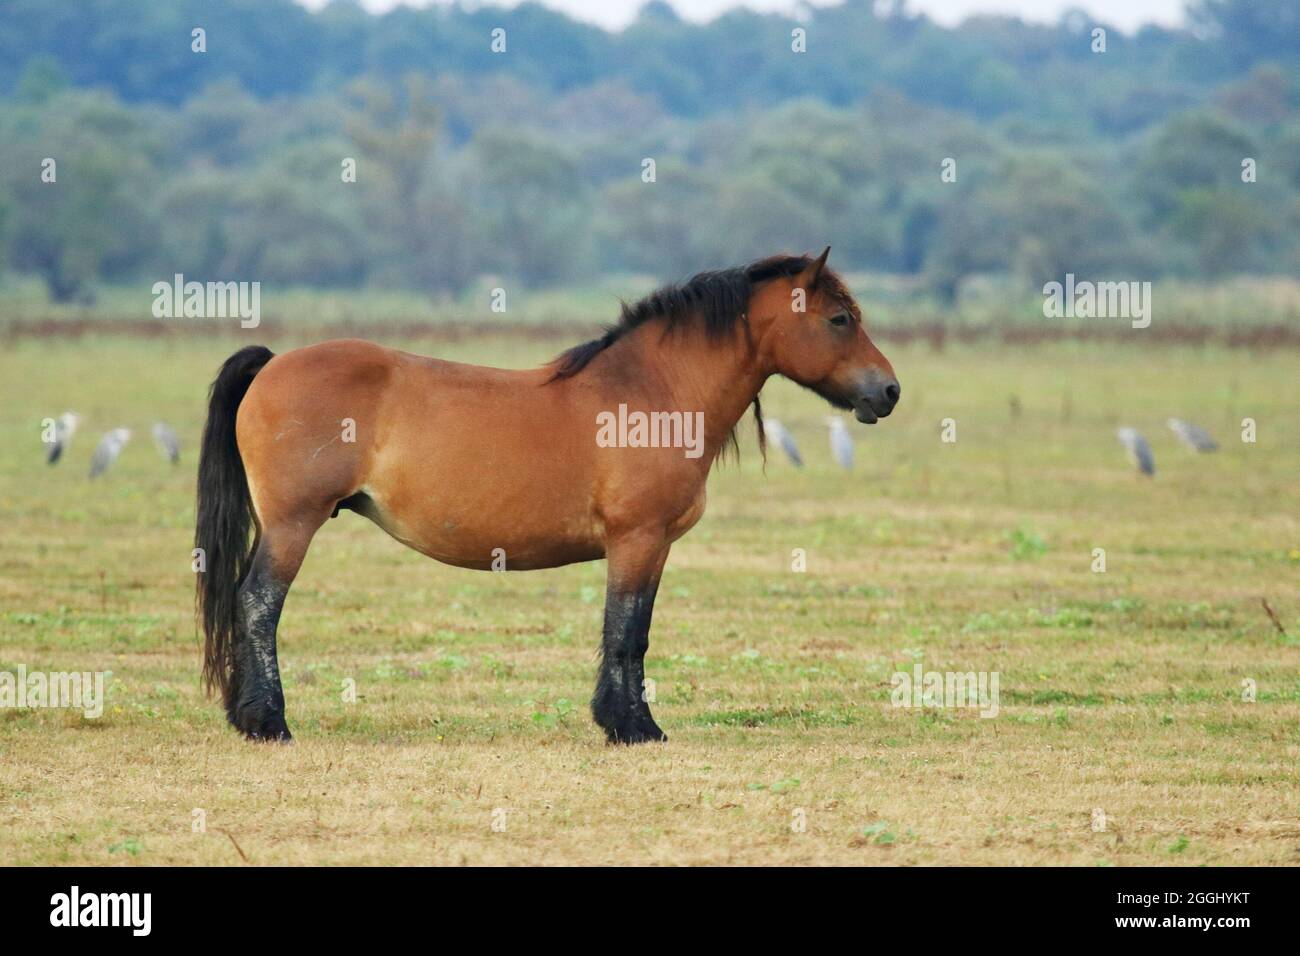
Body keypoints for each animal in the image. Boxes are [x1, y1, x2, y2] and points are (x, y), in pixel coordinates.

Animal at [195, 248, 900, 744]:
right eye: (839, 319)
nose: (889, 391)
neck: (651, 394)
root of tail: (273, 363)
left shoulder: (654, 547)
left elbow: (634, 631)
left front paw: (630, 722)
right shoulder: (636, 540)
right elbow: (626, 632)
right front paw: (631, 727)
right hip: (294, 525)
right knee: (258, 604)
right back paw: (269, 723)